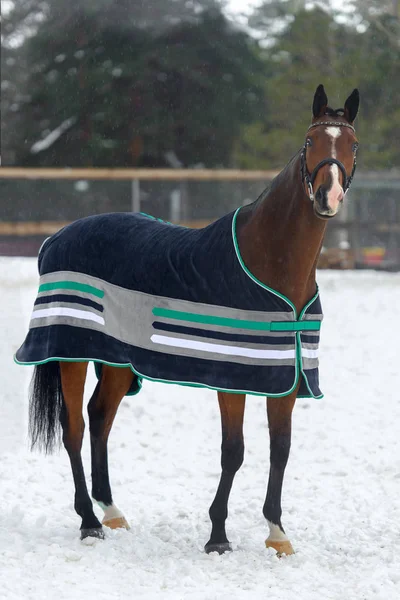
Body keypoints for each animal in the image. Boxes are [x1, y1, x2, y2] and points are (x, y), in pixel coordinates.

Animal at [15, 83, 360, 552]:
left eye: (352, 145)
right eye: (310, 142)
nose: (329, 197)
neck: (270, 264)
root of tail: (56, 238)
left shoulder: (285, 376)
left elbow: (281, 448)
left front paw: (277, 535)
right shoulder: (233, 378)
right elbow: (233, 451)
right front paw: (218, 537)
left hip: (118, 361)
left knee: (100, 417)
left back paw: (112, 511)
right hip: (71, 353)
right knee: (74, 428)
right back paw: (89, 521)